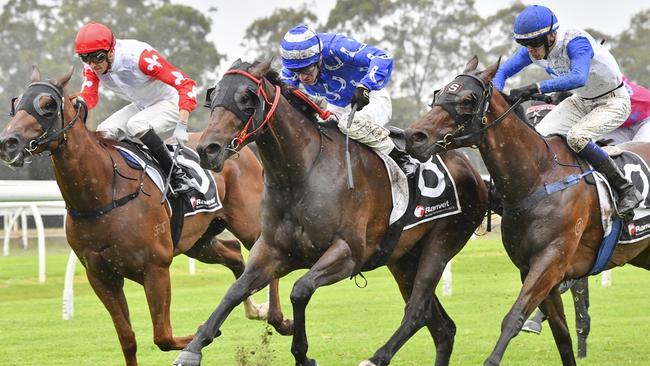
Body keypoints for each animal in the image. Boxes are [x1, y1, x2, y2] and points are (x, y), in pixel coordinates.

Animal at [0, 66, 292, 366]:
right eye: (17, 103)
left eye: (47, 105)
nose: (8, 142)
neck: (102, 194)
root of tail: (237, 149)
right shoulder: (101, 276)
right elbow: (128, 339)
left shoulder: (155, 267)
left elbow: (163, 337)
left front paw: (203, 332)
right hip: (198, 242)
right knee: (234, 253)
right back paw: (255, 309)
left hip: (248, 224)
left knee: (265, 257)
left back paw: (277, 317)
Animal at [172, 60, 486, 366]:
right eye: (214, 96)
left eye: (246, 98)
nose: (207, 149)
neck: (302, 173)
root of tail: (471, 169)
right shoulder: (272, 251)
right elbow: (234, 292)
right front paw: (193, 348)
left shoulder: (348, 253)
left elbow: (300, 290)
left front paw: (303, 354)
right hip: (404, 258)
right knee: (442, 328)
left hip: (441, 243)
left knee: (418, 310)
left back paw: (376, 358)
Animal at [404, 55, 648, 364]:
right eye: (440, 93)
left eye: (468, 99)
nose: (414, 136)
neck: (538, 178)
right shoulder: (531, 268)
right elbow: (561, 333)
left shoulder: (550, 262)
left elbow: (514, 317)